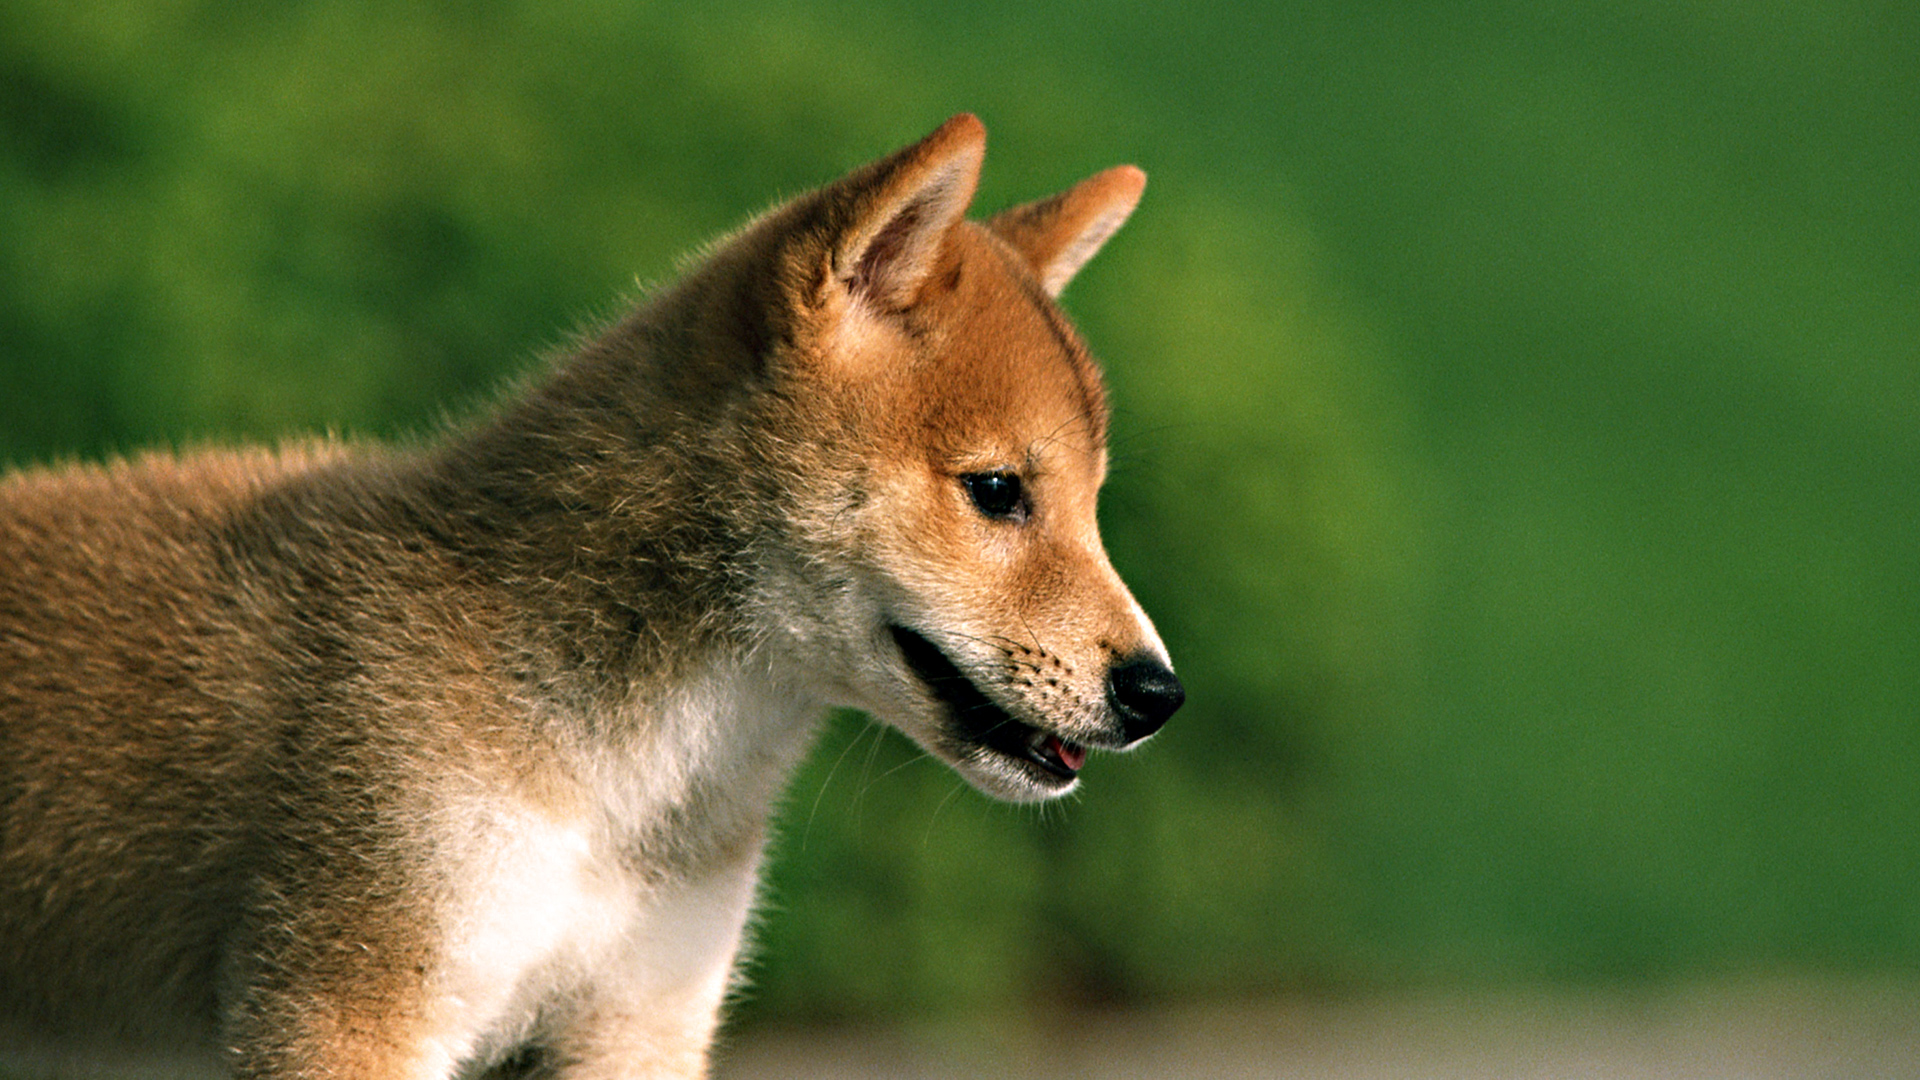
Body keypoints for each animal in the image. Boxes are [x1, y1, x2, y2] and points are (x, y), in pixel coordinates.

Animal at [0, 113, 1175, 1068]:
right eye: (998, 492)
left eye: (1093, 505)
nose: (1158, 693)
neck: (631, 781)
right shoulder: (343, 1011)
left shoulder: (642, 1018)